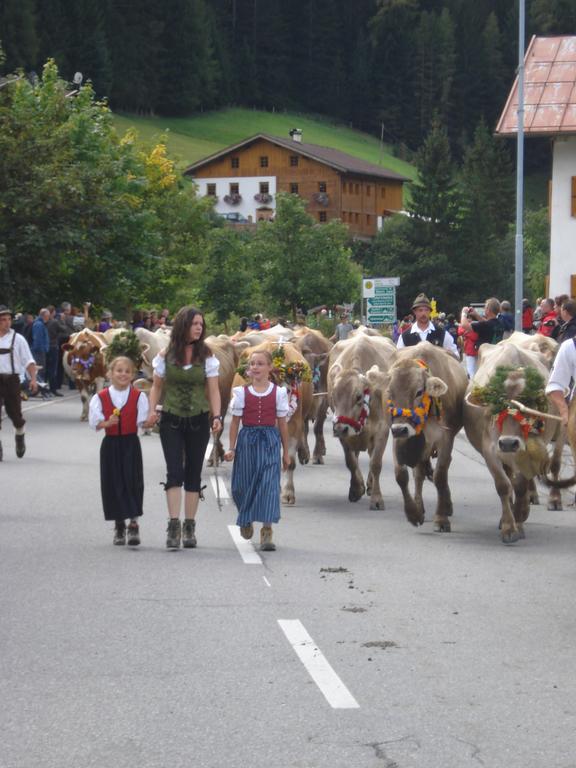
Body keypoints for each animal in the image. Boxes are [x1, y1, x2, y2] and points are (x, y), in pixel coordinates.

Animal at [384, 344, 466, 532]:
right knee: (419, 474)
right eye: (390, 392)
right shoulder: (399, 436)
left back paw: (446, 505)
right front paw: (413, 514)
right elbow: (401, 475)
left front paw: (441, 518)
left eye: (419, 392)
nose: (400, 429)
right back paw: (420, 507)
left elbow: (440, 475)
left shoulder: (445, 438)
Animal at [464, 344, 564, 544]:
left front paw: (519, 519)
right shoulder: (491, 448)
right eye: (496, 404)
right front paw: (509, 527)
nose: (509, 443)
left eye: (528, 403)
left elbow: (520, 485)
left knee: (551, 467)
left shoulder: (527, 450)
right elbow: (503, 485)